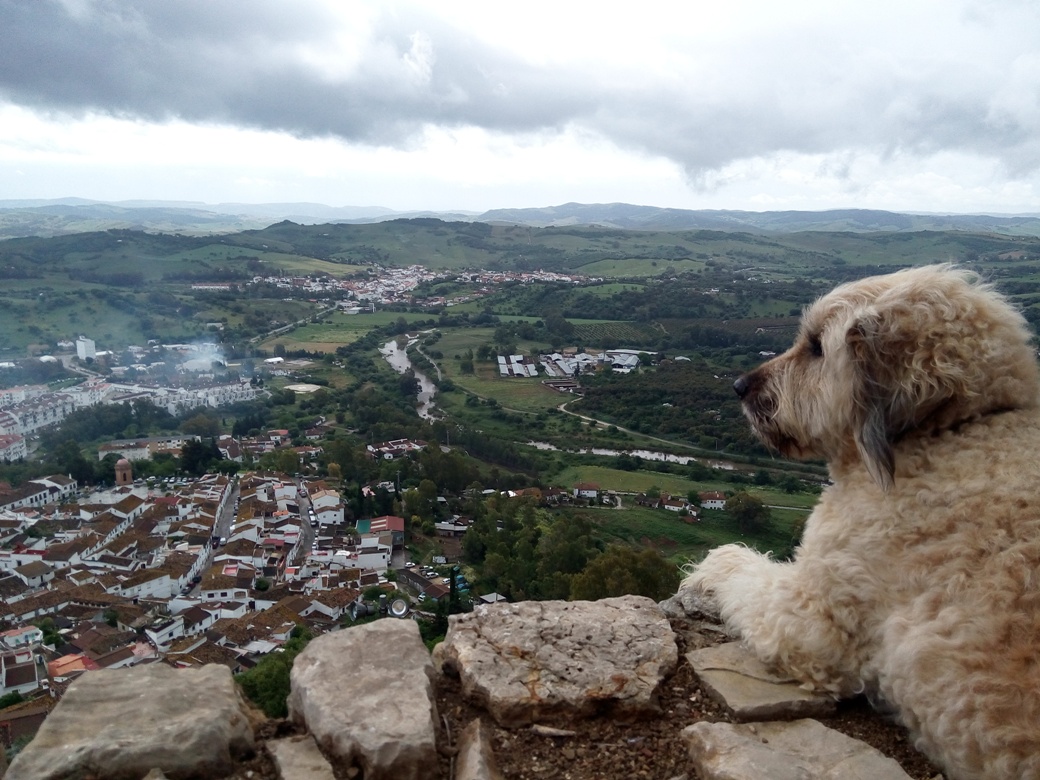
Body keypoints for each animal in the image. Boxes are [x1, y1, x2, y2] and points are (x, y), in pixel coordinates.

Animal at [682, 266, 1040, 777]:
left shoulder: (818, 622)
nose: (738, 385)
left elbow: (743, 571)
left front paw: (713, 564)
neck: (948, 432)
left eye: (816, 346)